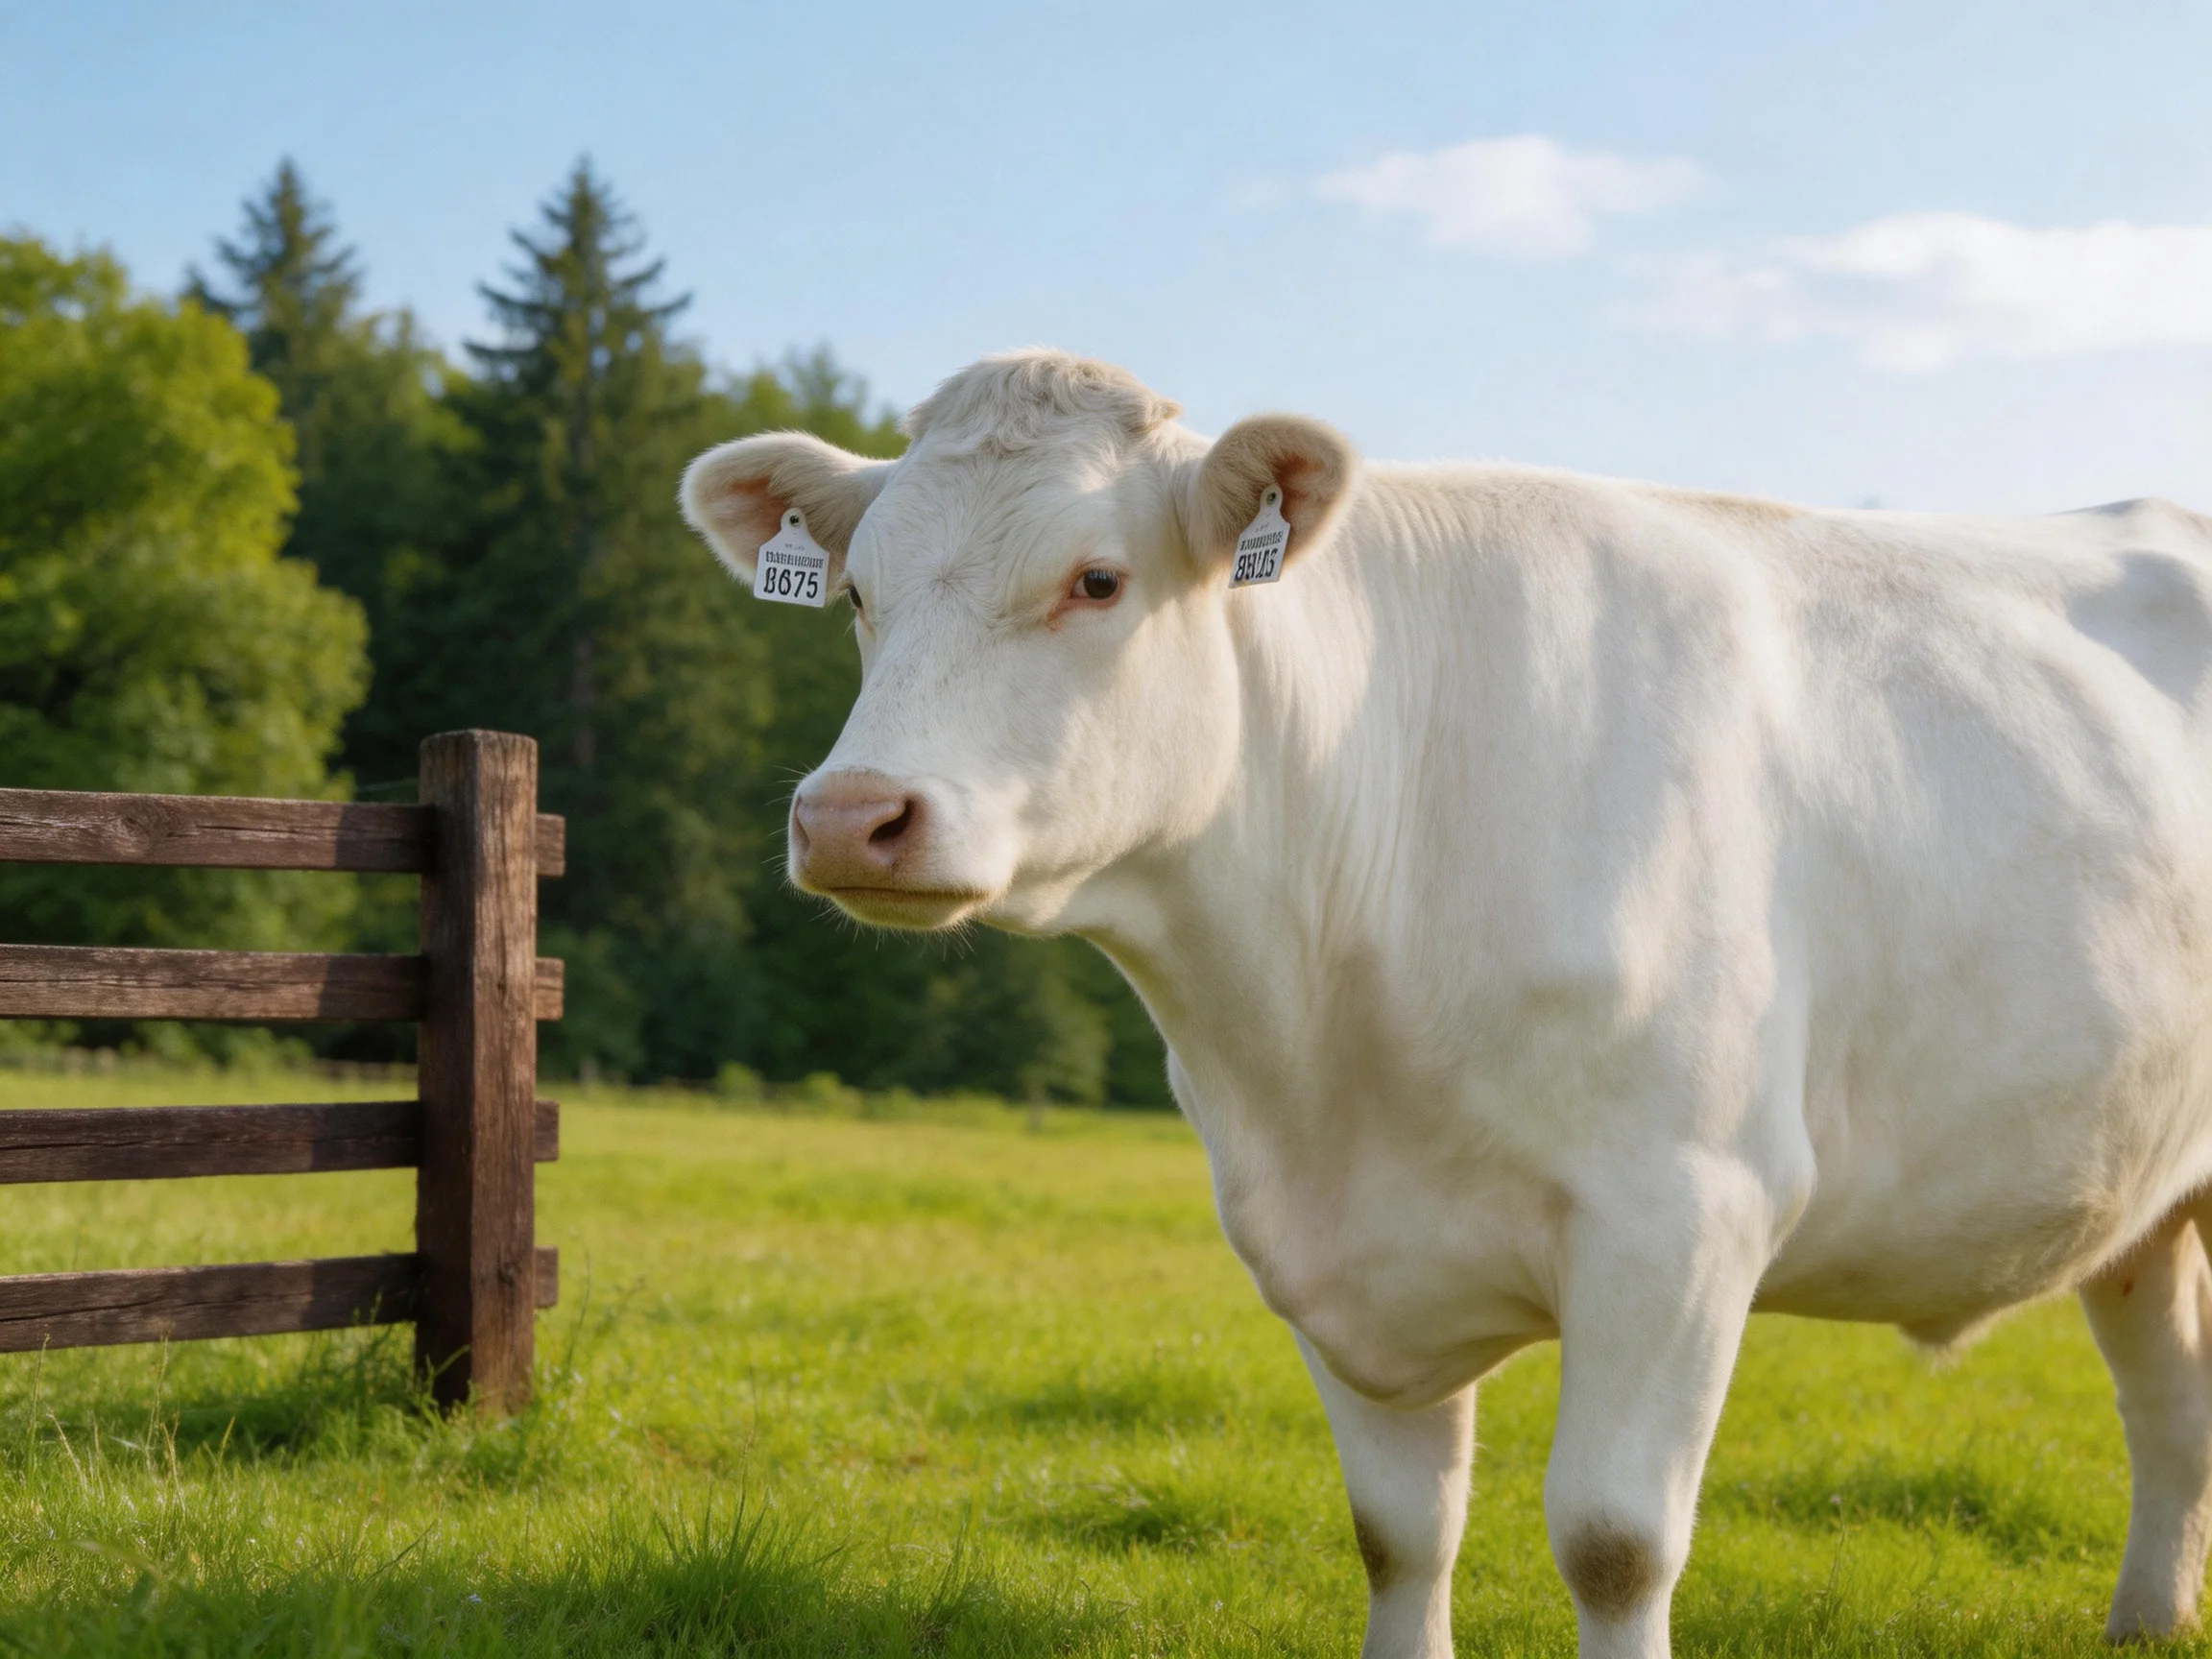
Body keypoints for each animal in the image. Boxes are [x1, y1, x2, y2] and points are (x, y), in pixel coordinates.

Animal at [680, 350, 2212, 1658]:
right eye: (859, 596)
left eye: (1098, 580)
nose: (850, 816)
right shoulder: (1323, 1239)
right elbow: (1397, 1533)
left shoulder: (1685, 1212)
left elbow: (1613, 1541)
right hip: (2135, 1187)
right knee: (2168, 1398)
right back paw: (2146, 1621)